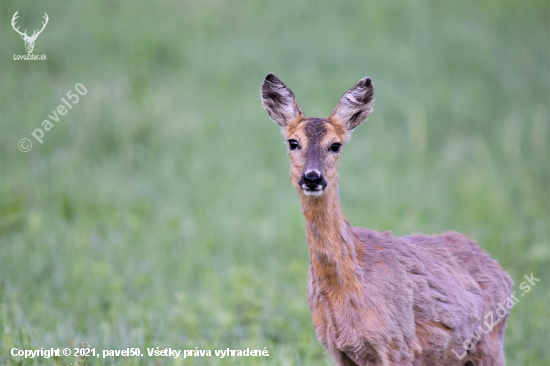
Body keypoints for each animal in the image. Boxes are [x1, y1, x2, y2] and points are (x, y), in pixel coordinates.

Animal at [260, 73, 516, 364]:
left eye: (335, 145)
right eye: (293, 143)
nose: (312, 177)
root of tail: (503, 273)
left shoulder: (397, 344)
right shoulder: (339, 349)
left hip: (490, 344)